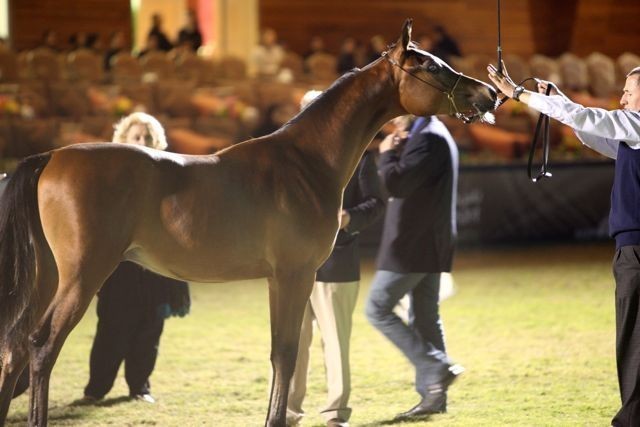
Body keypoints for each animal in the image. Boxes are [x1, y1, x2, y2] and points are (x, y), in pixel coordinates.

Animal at [0, 19, 496, 426]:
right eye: (431, 67)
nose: (488, 94)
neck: (304, 162)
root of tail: (50, 157)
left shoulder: (284, 279)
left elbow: (284, 353)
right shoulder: (294, 275)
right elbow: (286, 354)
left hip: (49, 276)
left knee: (16, 344)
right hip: (83, 276)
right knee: (41, 346)